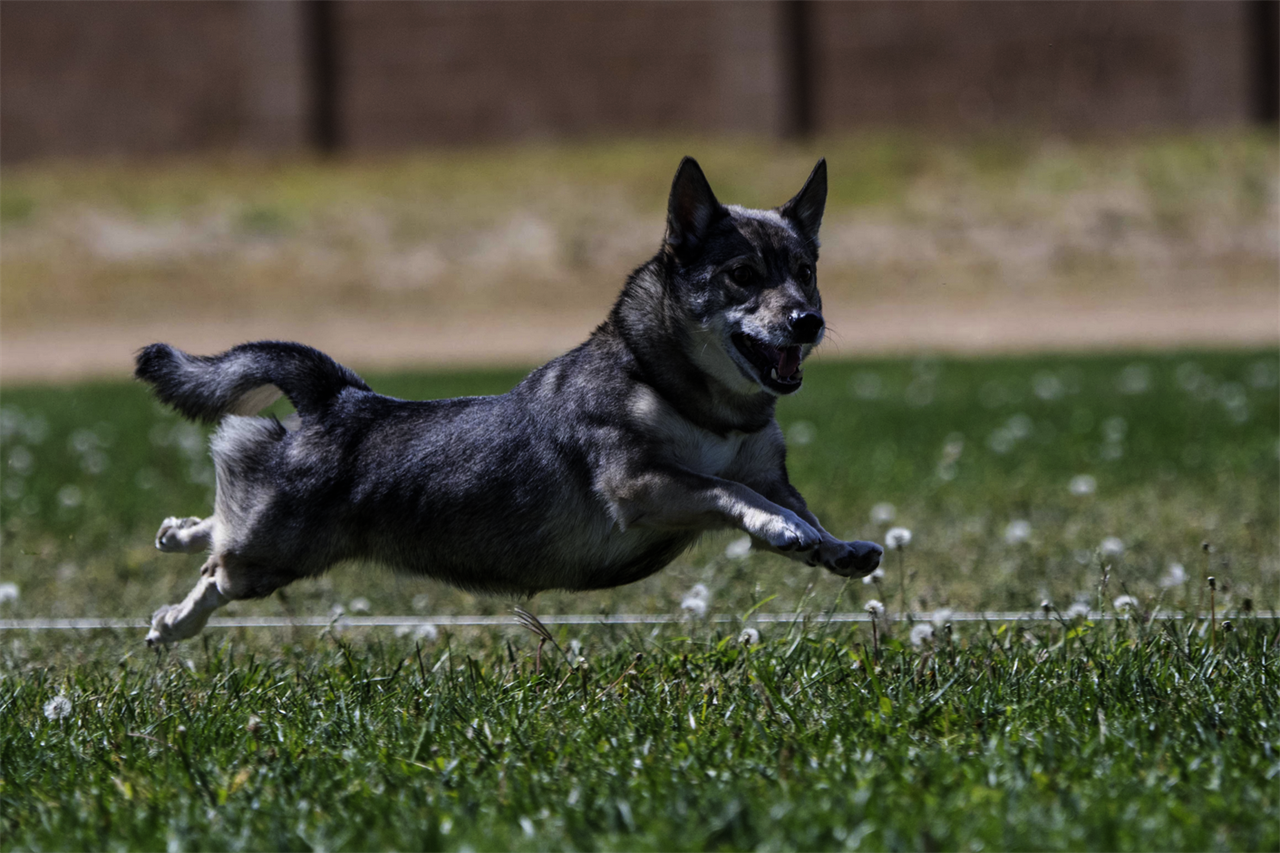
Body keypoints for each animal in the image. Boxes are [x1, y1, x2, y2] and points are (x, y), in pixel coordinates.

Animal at [137, 156, 880, 640]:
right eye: (743, 275)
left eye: (806, 272)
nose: (808, 321)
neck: (699, 402)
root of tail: (340, 398)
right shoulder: (641, 484)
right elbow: (734, 493)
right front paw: (781, 529)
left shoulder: (766, 473)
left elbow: (796, 507)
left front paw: (834, 546)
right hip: (273, 553)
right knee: (220, 565)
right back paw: (173, 621)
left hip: (273, 542)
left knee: (220, 524)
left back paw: (176, 532)